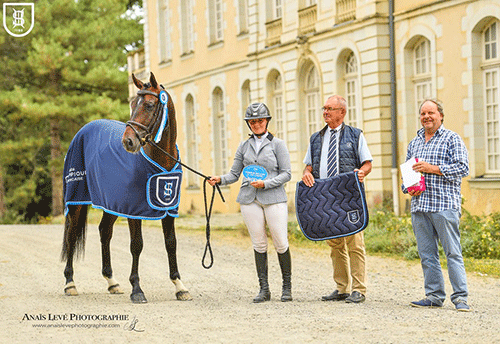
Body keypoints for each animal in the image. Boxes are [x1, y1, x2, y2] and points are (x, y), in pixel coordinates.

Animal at [59, 72, 191, 304]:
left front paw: (179, 286)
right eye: (132, 104)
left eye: (149, 105)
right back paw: (70, 283)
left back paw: (112, 282)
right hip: (76, 201)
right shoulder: (133, 209)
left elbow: (171, 243)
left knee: (104, 231)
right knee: (71, 234)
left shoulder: (168, 208)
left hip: (111, 202)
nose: (128, 142)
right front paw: (137, 289)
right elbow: (136, 245)